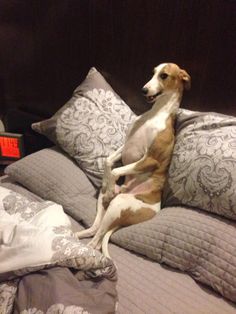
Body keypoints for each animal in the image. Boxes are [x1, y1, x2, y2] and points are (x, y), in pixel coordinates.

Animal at [76, 63, 191, 258]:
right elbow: (108, 162)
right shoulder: (125, 146)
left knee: (96, 242)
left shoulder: (151, 159)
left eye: (164, 75)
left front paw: (111, 179)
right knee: (95, 229)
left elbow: (116, 170)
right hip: (106, 203)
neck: (155, 114)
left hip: (119, 205)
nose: (143, 90)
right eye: (153, 72)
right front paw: (106, 180)